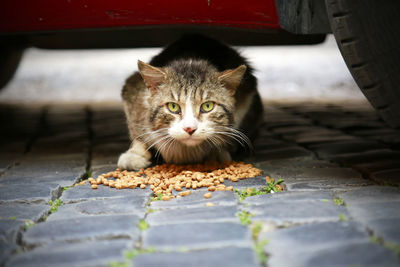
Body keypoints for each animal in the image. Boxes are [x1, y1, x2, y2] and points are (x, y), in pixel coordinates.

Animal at [119, 34, 262, 171]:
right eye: (173, 106)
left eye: (207, 106)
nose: (189, 128)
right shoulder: (132, 92)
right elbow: (137, 132)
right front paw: (135, 153)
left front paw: (217, 152)